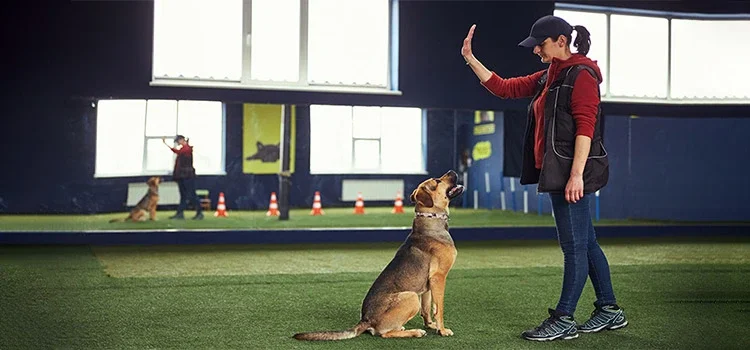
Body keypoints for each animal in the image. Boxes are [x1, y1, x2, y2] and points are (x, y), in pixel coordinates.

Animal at [292, 171, 464, 340]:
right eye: (437, 181)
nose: (453, 171)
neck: (431, 220)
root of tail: (366, 320)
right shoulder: (439, 277)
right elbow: (439, 308)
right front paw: (442, 330)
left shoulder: (428, 284)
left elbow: (427, 309)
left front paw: (431, 325)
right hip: (411, 297)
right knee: (384, 334)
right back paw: (415, 332)